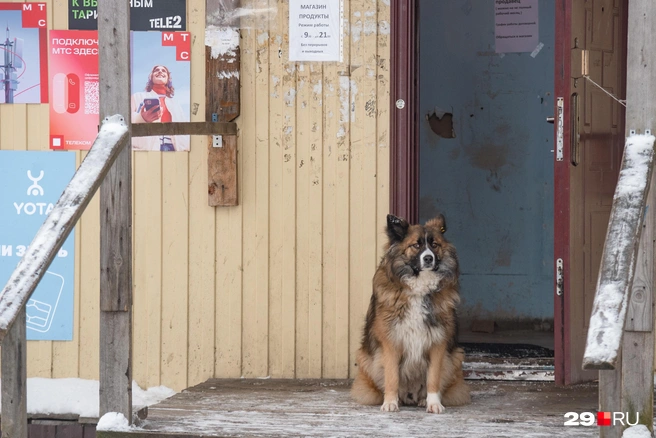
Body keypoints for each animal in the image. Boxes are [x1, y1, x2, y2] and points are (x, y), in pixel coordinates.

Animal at [352, 214, 468, 412]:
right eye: (416, 245)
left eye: (434, 244)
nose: (428, 258)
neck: (419, 287)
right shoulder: (391, 340)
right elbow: (392, 376)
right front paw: (390, 402)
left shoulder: (438, 341)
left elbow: (433, 378)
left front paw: (433, 403)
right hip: (366, 359)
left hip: (455, 358)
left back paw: (422, 400)